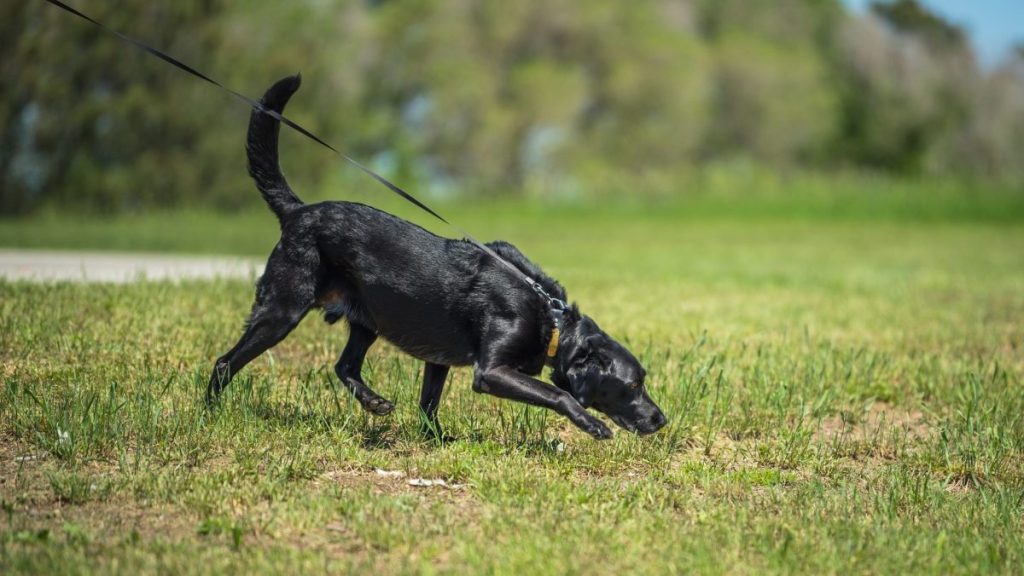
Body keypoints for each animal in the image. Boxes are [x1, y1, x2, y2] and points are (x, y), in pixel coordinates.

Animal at [208, 73, 671, 436]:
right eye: (633, 385)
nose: (661, 419)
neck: (551, 319)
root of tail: (298, 211)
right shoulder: (493, 372)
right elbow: (558, 393)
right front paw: (591, 423)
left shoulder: (438, 359)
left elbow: (429, 403)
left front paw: (436, 440)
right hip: (283, 309)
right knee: (224, 363)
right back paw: (210, 414)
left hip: (368, 317)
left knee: (345, 366)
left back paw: (374, 402)